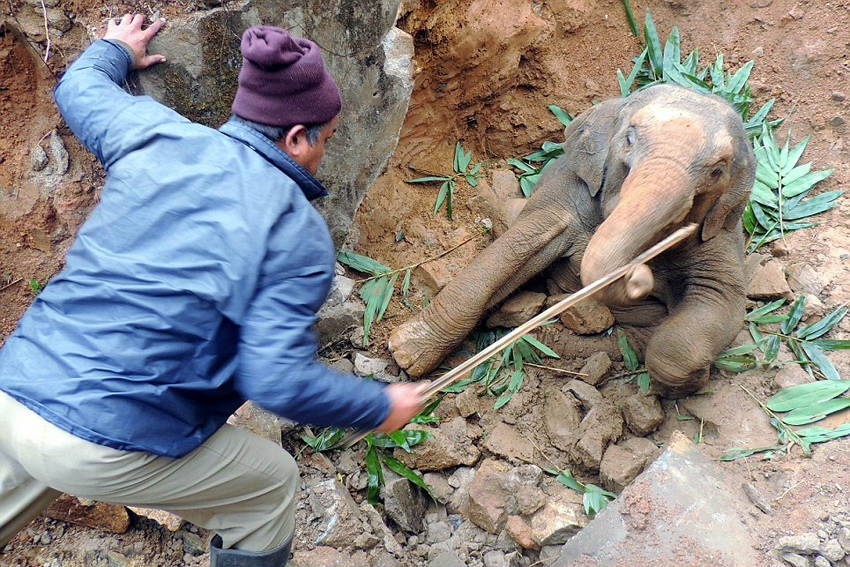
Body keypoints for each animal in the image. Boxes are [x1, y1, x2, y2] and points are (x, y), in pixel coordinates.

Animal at [388, 84, 756, 397]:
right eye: (630, 139)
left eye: (718, 170)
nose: (642, 276)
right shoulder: (568, 191)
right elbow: (520, 242)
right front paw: (404, 354)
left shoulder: (721, 235)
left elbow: (719, 298)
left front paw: (689, 383)